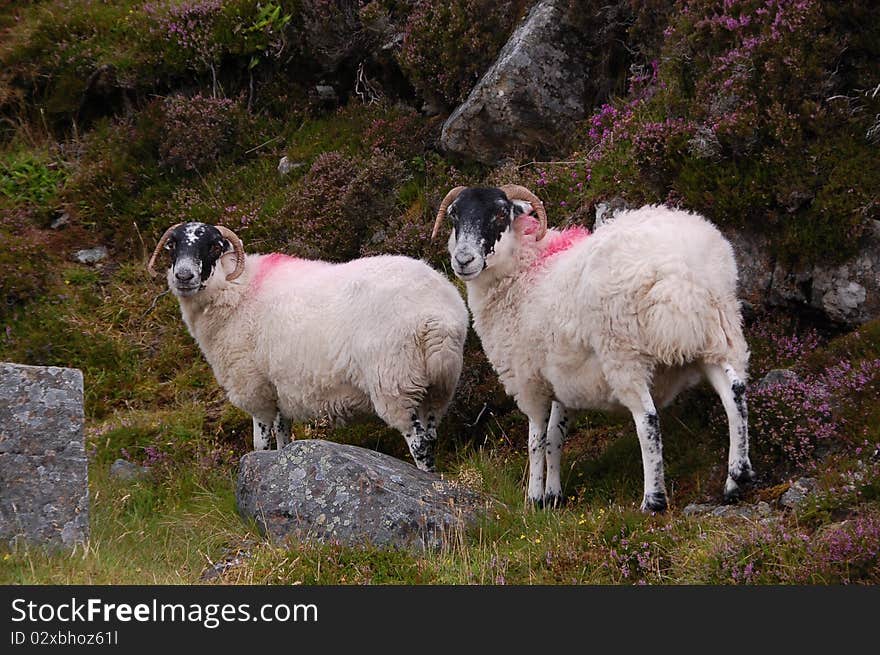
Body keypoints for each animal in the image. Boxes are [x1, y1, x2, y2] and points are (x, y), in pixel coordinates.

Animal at [148, 222, 470, 472]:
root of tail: (438, 315)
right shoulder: (278, 390)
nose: (184, 276)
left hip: (395, 381)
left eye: (214, 247)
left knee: (420, 443)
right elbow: (283, 437)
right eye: (172, 246)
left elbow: (260, 444)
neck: (236, 288)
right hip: (437, 386)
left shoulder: (255, 389)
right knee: (431, 434)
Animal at [430, 184, 752, 512]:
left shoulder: (529, 380)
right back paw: (737, 479)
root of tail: (683, 271)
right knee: (734, 392)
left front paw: (533, 499)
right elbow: (555, 437)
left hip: (624, 353)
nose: (463, 260)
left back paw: (653, 500)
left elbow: (535, 441)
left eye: (499, 213)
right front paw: (553, 496)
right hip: (716, 332)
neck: (526, 269)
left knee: (647, 418)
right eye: (454, 215)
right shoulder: (562, 379)